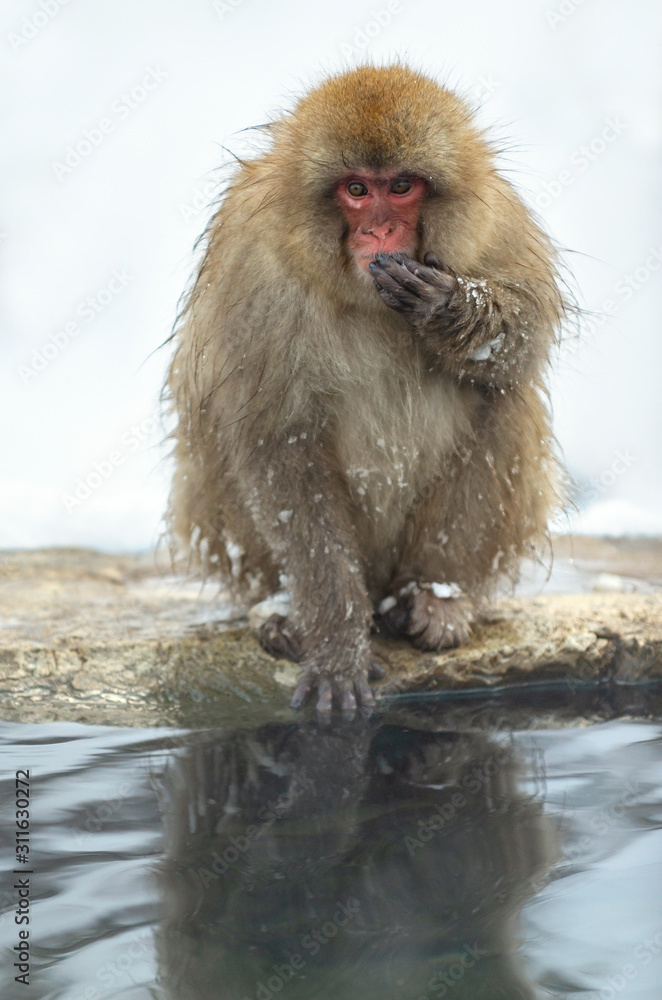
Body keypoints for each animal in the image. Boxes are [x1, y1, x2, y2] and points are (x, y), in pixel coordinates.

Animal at [165, 65, 565, 717]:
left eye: (401, 186)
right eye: (356, 190)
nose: (379, 229)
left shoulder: (497, 220)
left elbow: (522, 341)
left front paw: (450, 309)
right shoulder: (252, 268)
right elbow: (279, 445)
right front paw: (335, 645)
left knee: (502, 397)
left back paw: (435, 596)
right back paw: (282, 613)